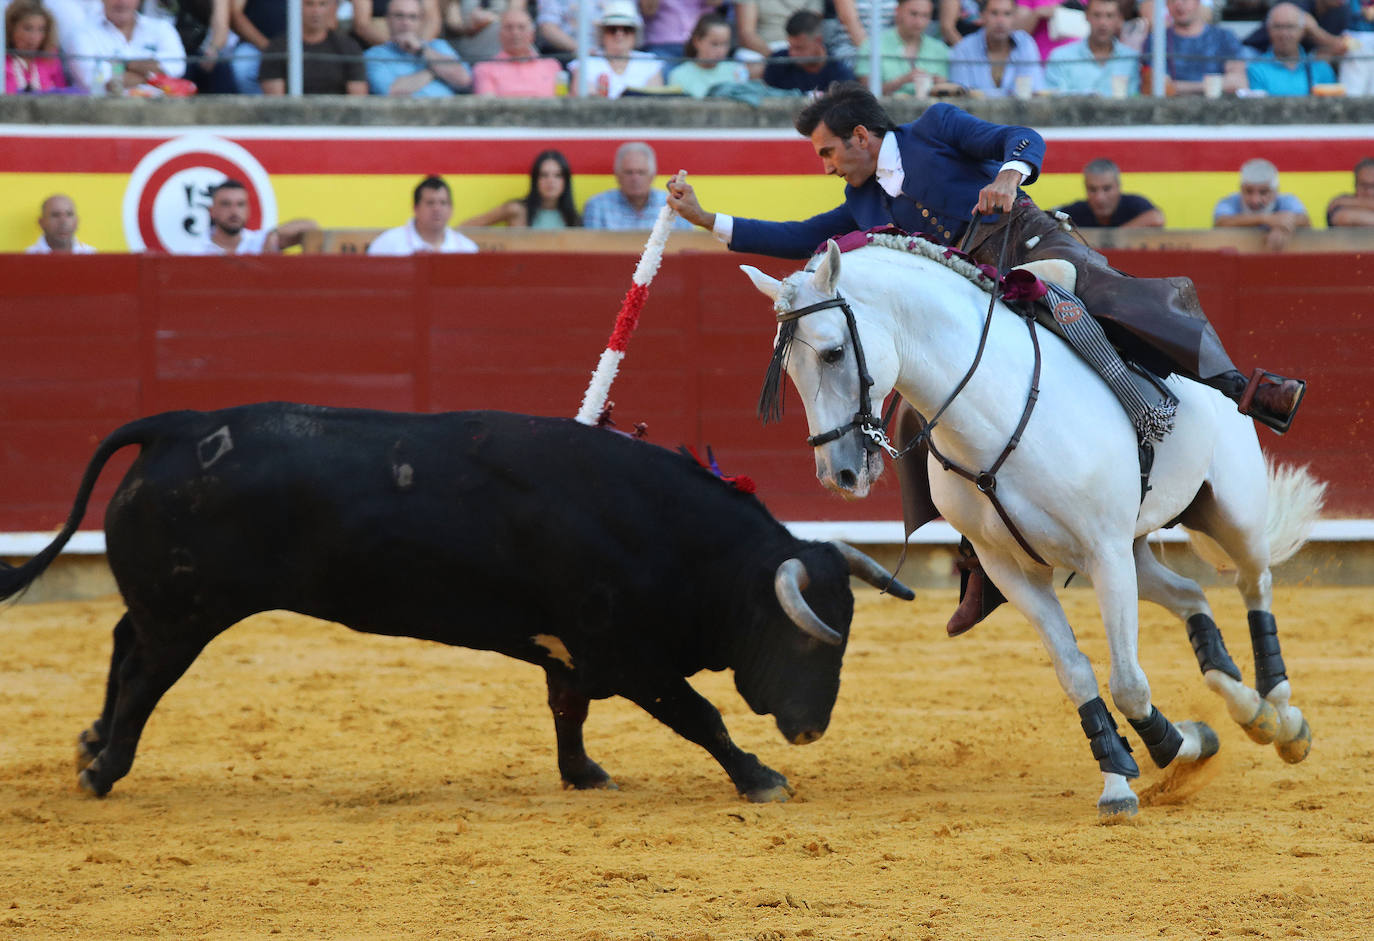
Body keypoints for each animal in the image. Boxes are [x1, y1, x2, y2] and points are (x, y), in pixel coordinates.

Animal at [5, 401, 917, 802]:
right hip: (187, 615)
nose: (810, 728)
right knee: (144, 676)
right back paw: (103, 769)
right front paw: (761, 777)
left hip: (170, 606)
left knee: (121, 644)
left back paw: (90, 745)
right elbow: (702, 716)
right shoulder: (629, 655)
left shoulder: (571, 648)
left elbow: (568, 713)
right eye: (807, 638)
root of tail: (176, 423)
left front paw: (583, 774)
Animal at [747, 239, 1324, 818]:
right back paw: (1248, 709)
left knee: (1255, 583)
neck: (995, 412)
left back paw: (1281, 715)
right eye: (788, 369)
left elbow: (1128, 681)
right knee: (1191, 595)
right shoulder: (1012, 568)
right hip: (1135, 550)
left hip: (1231, 513)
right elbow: (1076, 672)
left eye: (833, 353)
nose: (838, 475)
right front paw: (1133, 770)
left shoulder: (1105, 553)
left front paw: (1167, 748)